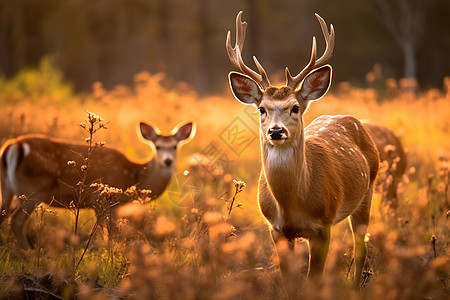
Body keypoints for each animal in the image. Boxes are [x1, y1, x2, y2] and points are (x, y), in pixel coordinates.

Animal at [225, 11, 380, 296]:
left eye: (295, 107)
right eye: (262, 108)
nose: (276, 131)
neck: (292, 205)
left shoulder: (323, 226)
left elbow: (314, 280)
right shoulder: (276, 230)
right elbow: (289, 283)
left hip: (368, 192)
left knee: (360, 248)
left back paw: (355, 289)